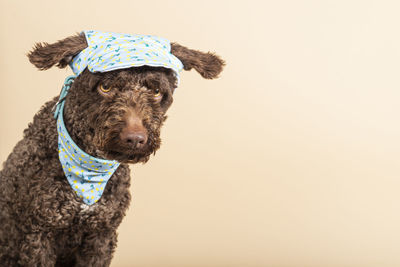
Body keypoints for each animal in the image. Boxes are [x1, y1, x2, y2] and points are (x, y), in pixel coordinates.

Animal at [0, 30, 225, 266]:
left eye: (156, 91)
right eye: (105, 87)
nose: (135, 139)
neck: (90, 168)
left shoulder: (102, 234)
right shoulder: (38, 235)